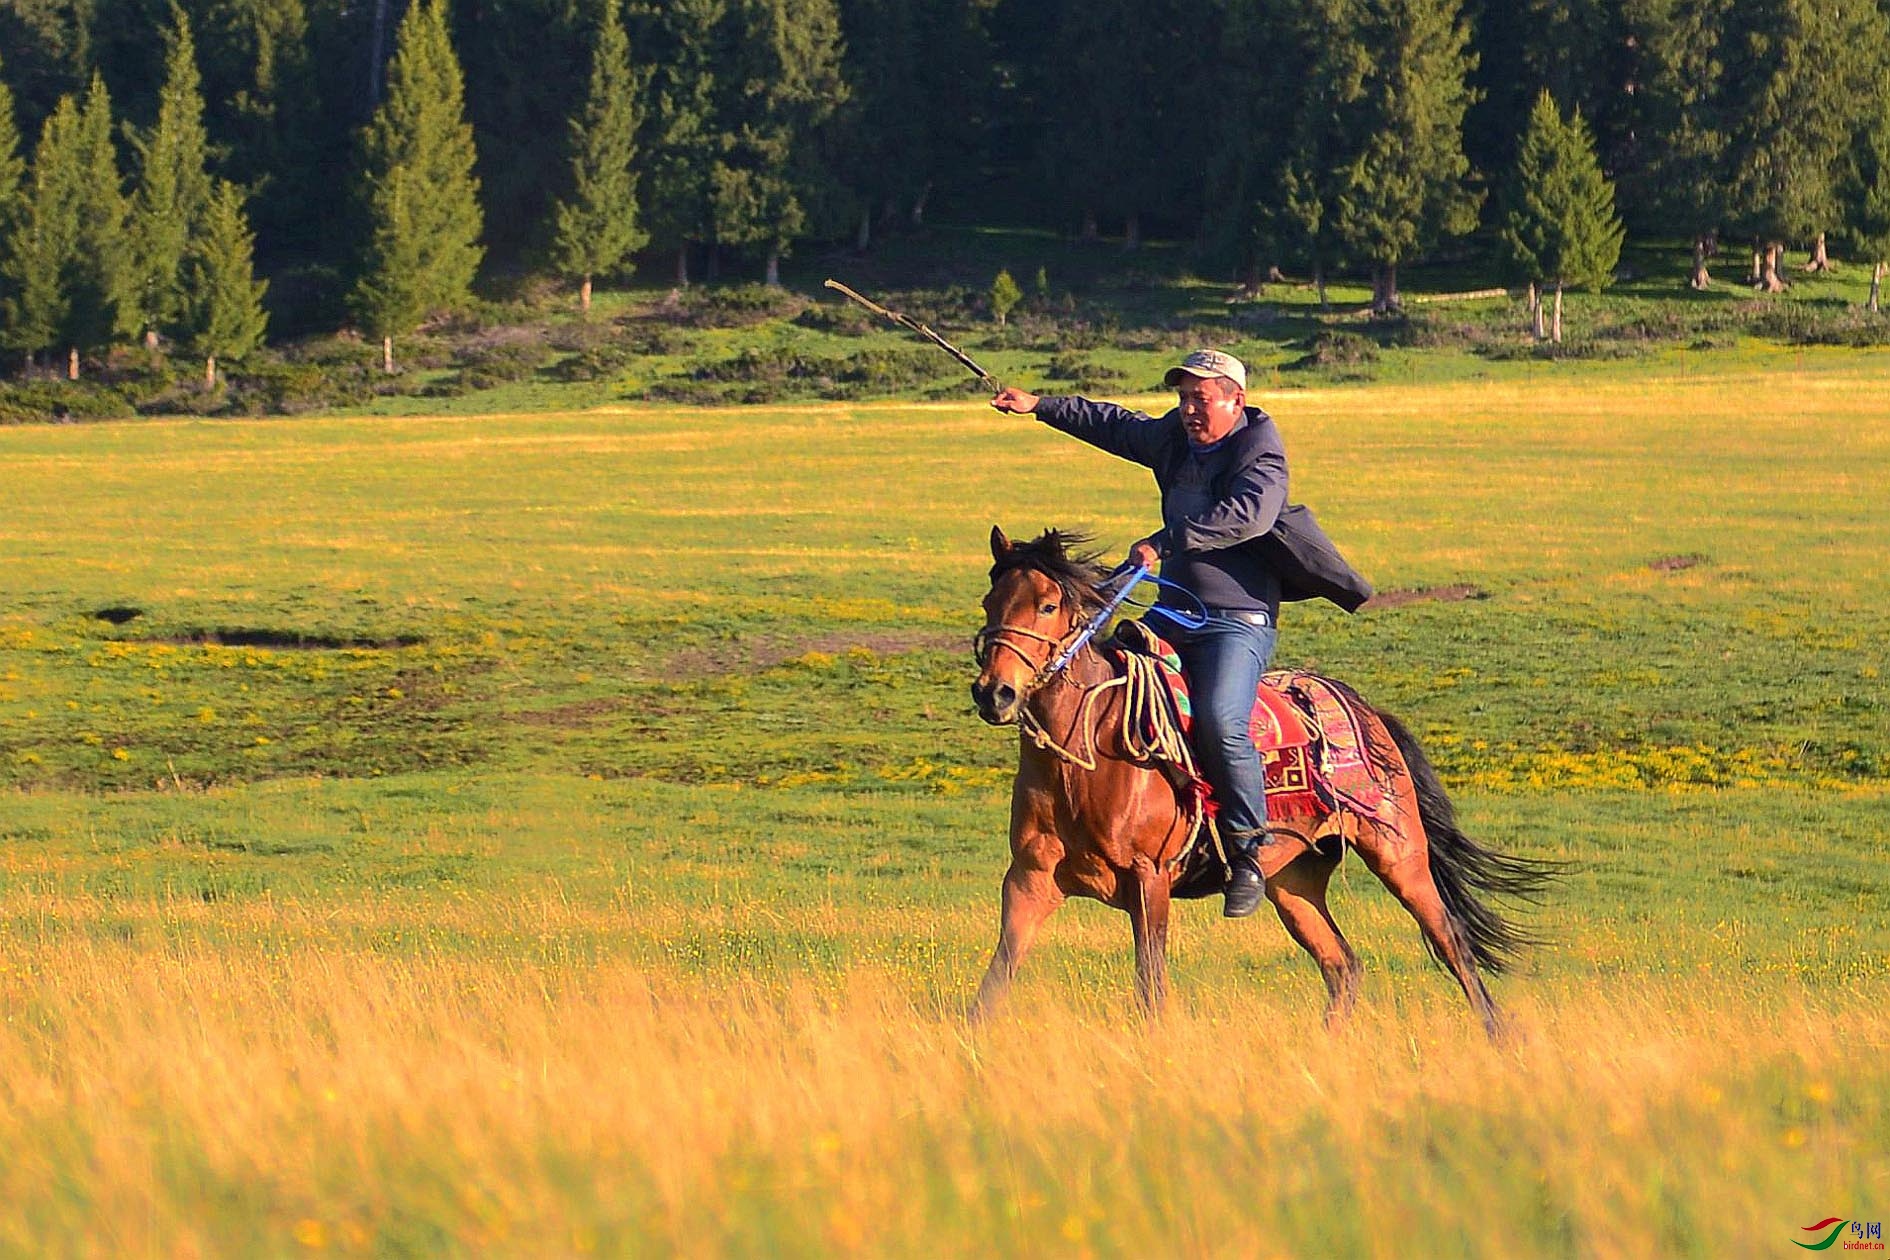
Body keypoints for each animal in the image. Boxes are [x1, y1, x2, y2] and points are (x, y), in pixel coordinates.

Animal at [967, 528, 1557, 1042]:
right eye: (989, 602)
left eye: (1047, 605)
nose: (994, 693)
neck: (1088, 758)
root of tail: (1368, 711)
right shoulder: (1029, 881)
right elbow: (993, 984)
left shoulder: (1148, 880)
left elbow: (1150, 987)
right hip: (1292, 882)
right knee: (1343, 965)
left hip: (1400, 855)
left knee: (1451, 943)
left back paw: (1499, 1037)